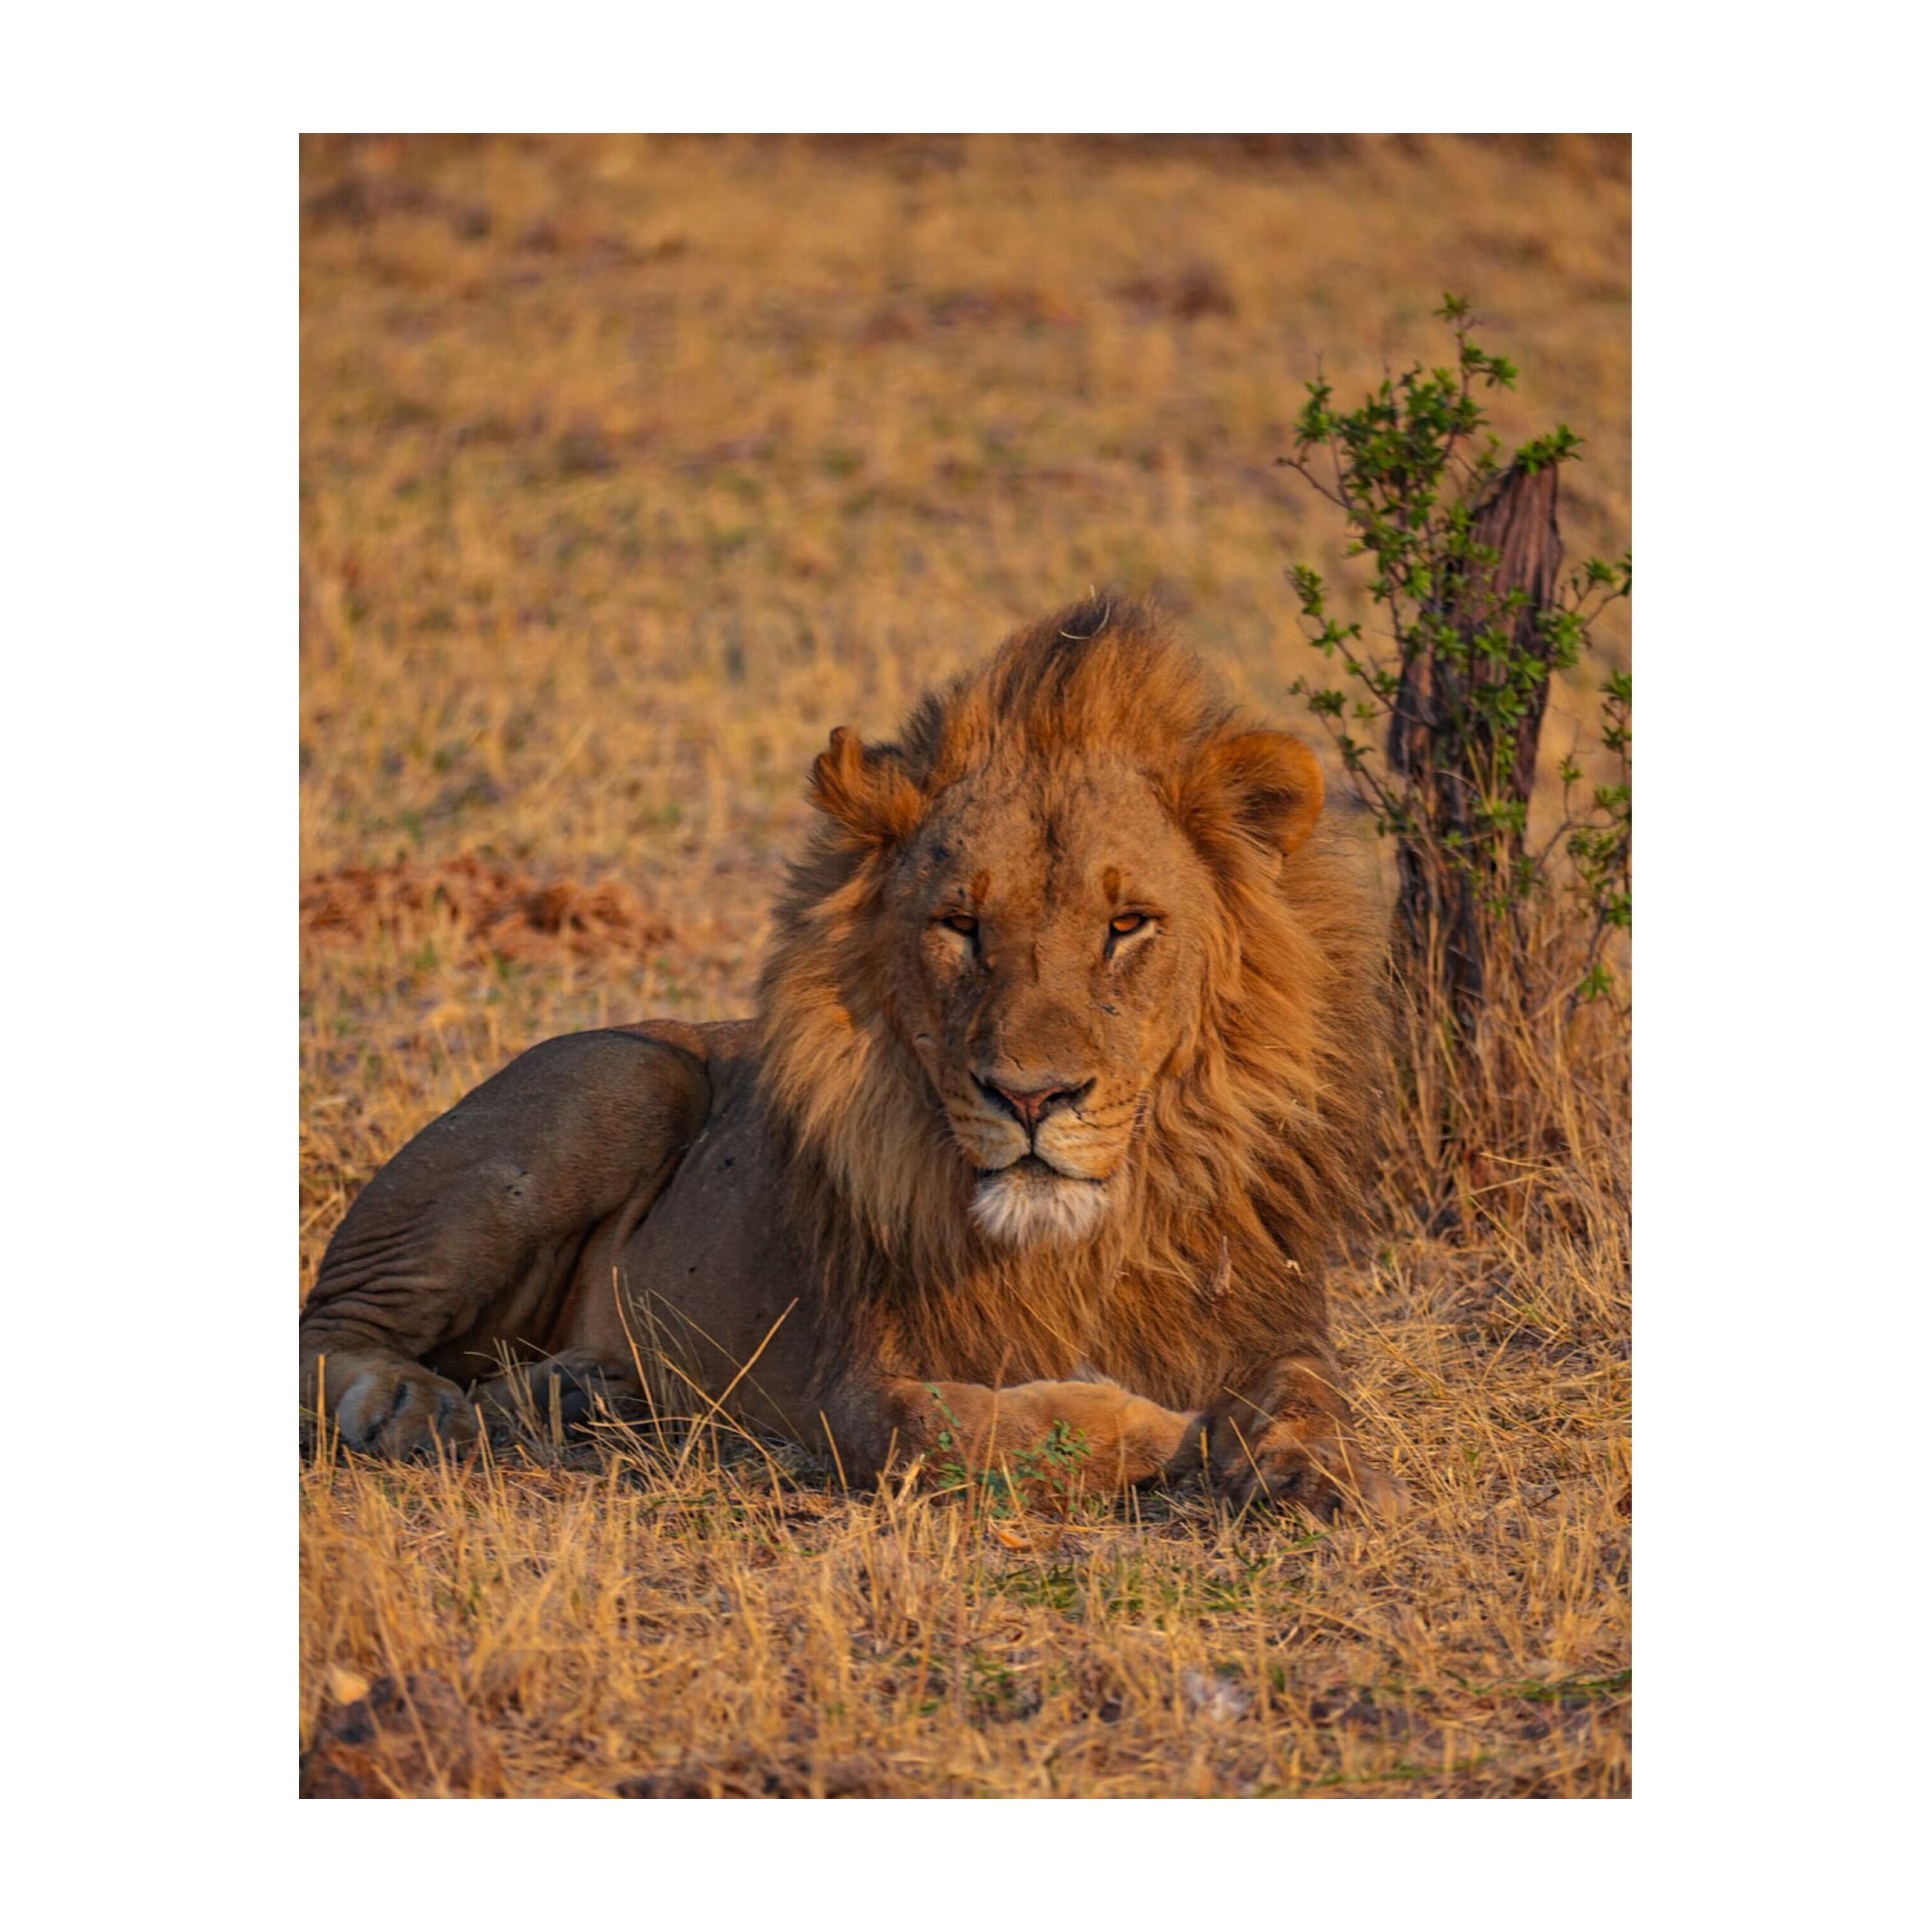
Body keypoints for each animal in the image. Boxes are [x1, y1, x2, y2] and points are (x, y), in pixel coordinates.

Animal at [300, 598, 1402, 1516]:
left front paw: (1307, 1470)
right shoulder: (856, 1385)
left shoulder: (1272, 1312)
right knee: (325, 1332)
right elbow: (959, 1431)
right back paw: (415, 1409)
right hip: (622, 1079)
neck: (1092, 1238)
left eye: (1128, 925)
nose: (1031, 1097)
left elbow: (1315, 1389)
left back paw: (577, 1391)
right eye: (960, 924)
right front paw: (1165, 1428)